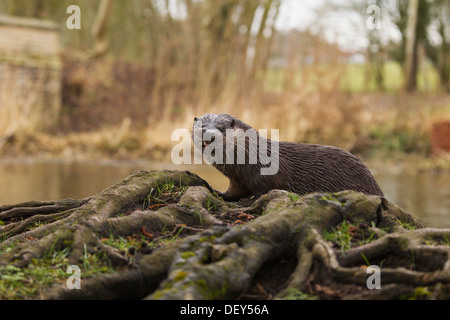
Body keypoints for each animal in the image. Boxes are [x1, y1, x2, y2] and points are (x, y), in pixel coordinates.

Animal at [192, 112, 384, 200]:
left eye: (221, 128)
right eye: (201, 126)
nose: (208, 135)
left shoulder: (269, 174)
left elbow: (265, 190)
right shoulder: (237, 180)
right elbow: (234, 191)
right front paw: (218, 192)